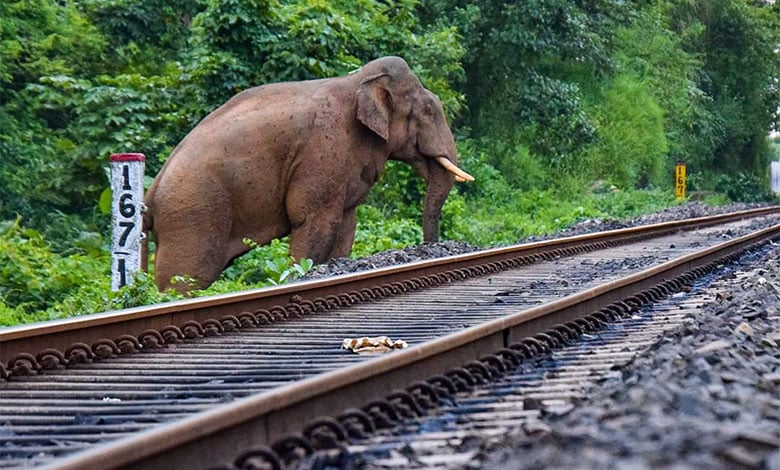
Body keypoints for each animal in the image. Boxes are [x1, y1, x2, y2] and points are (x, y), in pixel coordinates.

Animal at [144, 56, 473, 292]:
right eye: (429, 111)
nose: (433, 248)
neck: (356, 81)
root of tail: (152, 191)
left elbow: (346, 223)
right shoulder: (322, 151)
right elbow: (314, 221)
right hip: (193, 215)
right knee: (184, 279)